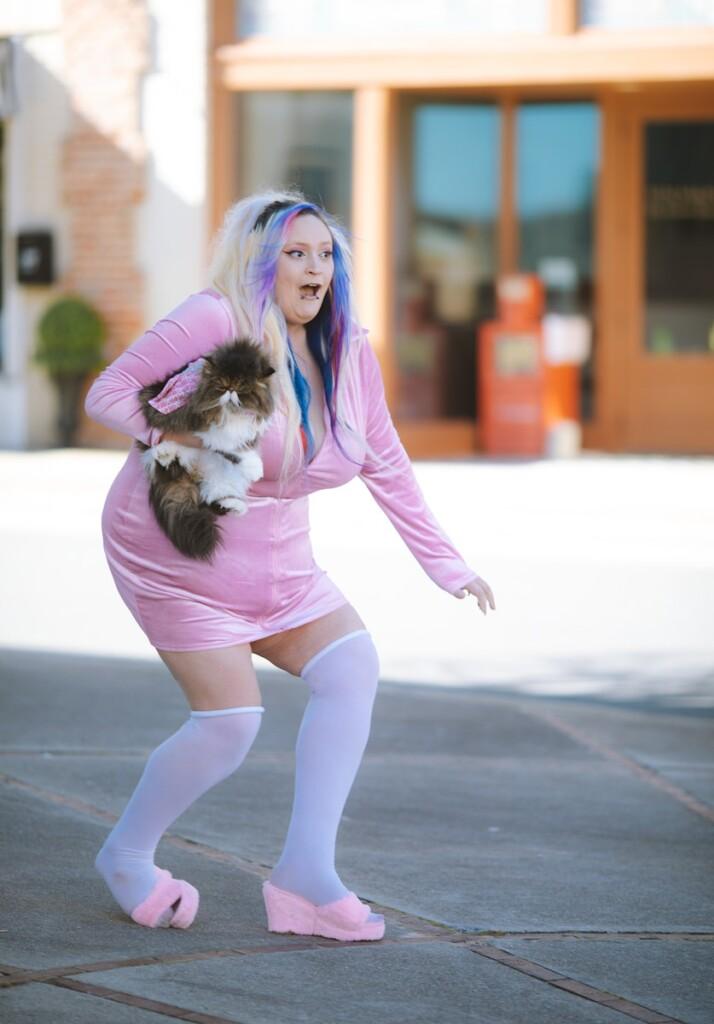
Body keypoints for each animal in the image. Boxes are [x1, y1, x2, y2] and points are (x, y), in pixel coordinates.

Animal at [136, 335, 276, 561]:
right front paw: (255, 468)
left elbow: (242, 444)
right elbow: (229, 444)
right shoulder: (199, 422)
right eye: (222, 384)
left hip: (222, 481)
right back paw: (165, 454)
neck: (231, 413)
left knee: (211, 500)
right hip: (161, 451)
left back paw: (235, 507)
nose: (230, 390)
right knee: (163, 465)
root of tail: (192, 474)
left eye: (242, 387)